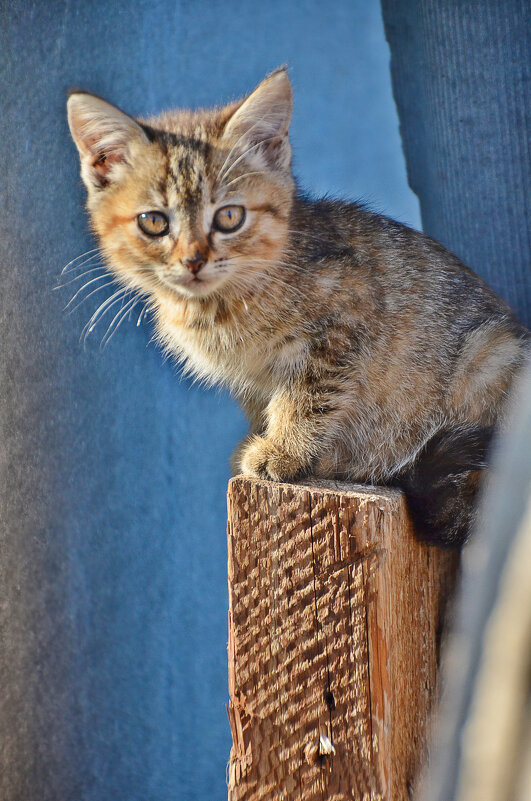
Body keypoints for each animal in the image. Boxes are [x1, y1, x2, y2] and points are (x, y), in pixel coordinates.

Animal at [68, 69, 528, 548]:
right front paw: (265, 439)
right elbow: (264, 400)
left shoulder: (347, 312)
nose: (193, 260)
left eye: (229, 217)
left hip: (491, 357)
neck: (222, 303)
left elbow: (308, 394)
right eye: (154, 222)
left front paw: (284, 451)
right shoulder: (252, 376)